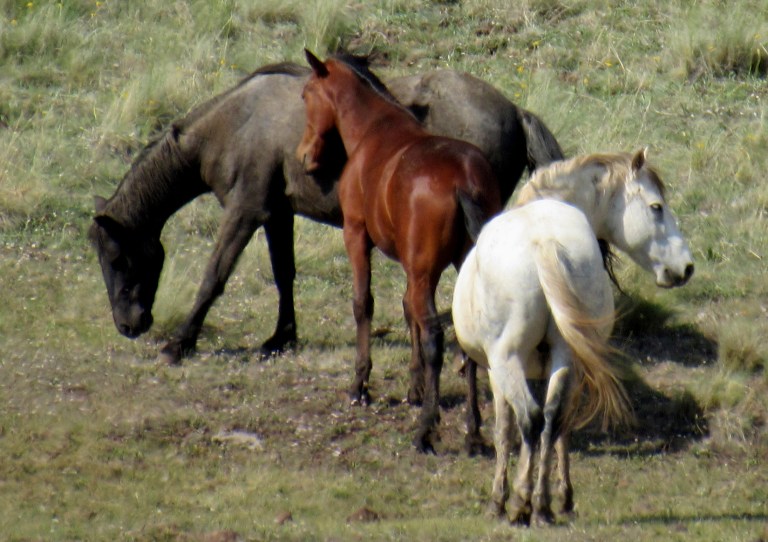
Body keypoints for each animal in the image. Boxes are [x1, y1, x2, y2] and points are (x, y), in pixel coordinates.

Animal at [88, 59, 563, 368]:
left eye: (117, 258)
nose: (129, 324)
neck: (236, 122)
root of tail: (513, 111)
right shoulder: (277, 215)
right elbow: (284, 274)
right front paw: (282, 336)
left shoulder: (245, 212)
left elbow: (214, 276)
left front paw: (180, 343)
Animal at [296, 50, 503, 453]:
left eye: (306, 94)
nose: (304, 154)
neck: (374, 132)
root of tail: (465, 179)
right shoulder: (409, 266)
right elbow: (407, 312)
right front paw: (415, 386)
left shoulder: (356, 235)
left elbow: (364, 304)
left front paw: (360, 384)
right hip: (457, 270)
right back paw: (472, 431)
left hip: (426, 272)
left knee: (436, 335)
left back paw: (426, 431)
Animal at [452, 150, 694, 525]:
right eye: (656, 207)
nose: (686, 267)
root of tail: (543, 243)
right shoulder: (573, 364)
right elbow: (561, 427)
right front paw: (562, 498)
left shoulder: (495, 370)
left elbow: (506, 431)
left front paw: (499, 499)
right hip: (565, 355)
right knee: (552, 418)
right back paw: (541, 506)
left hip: (508, 360)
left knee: (531, 419)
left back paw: (521, 503)